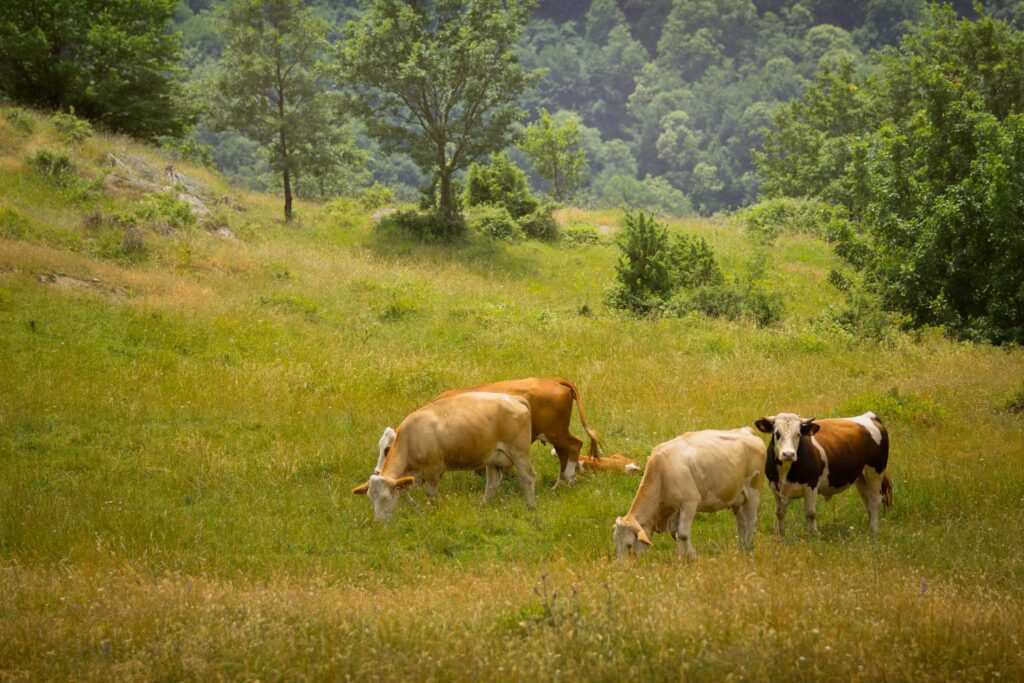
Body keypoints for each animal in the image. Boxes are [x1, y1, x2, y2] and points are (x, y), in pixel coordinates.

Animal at [354, 393, 536, 520]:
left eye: (385, 498)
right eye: (371, 498)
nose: (379, 522)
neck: (411, 437)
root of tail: (516, 399)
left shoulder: (434, 471)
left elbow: (431, 495)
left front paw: (431, 512)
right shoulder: (408, 475)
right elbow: (404, 492)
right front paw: (416, 507)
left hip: (519, 452)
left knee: (528, 477)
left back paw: (530, 507)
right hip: (492, 457)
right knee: (492, 483)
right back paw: (483, 505)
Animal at [374, 376, 598, 483]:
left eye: (387, 449)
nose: (377, 472)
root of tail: (553, 380)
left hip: (556, 433)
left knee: (574, 446)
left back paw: (567, 478)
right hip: (556, 435)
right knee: (564, 453)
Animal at [610, 428, 765, 561]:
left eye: (629, 545)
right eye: (615, 542)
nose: (622, 568)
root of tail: (747, 431)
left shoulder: (689, 502)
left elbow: (683, 533)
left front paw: (692, 557)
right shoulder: (675, 509)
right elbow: (676, 534)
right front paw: (681, 558)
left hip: (753, 492)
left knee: (752, 522)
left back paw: (749, 549)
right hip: (737, 499)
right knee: (742, 523)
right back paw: (740, 550)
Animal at [757, 409, 892, 536]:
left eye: (798, 434)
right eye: (777, 433)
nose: (788, 454)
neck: (785, 473)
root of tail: (870, 416)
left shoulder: (811, 485)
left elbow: (810, 513)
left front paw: (814, 534)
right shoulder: (774, 486)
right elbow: (779, 513)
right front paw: (781, 534)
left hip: (875, 472)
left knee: (876, 499)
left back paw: (874, 529)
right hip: (861, 476)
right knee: (867, 499)